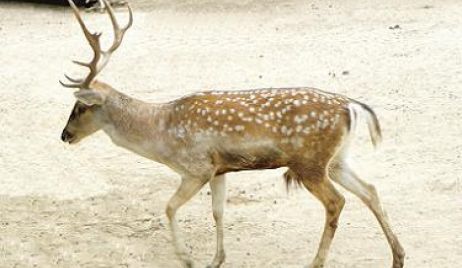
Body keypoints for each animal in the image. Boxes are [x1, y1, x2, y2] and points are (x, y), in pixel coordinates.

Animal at [60, 1, 404, 266]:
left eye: (80, 108)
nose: (64, 135)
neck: (162, 134)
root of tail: (352, 106)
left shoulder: (197, 167)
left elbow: (169, 207)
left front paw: (187, 259)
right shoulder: (219, 169)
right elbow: (218, 212)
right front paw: (216, 260)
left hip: (310, 162)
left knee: (337, 201)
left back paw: (316, 262)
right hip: (336, 159)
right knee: (370, 190)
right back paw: (398, 257)